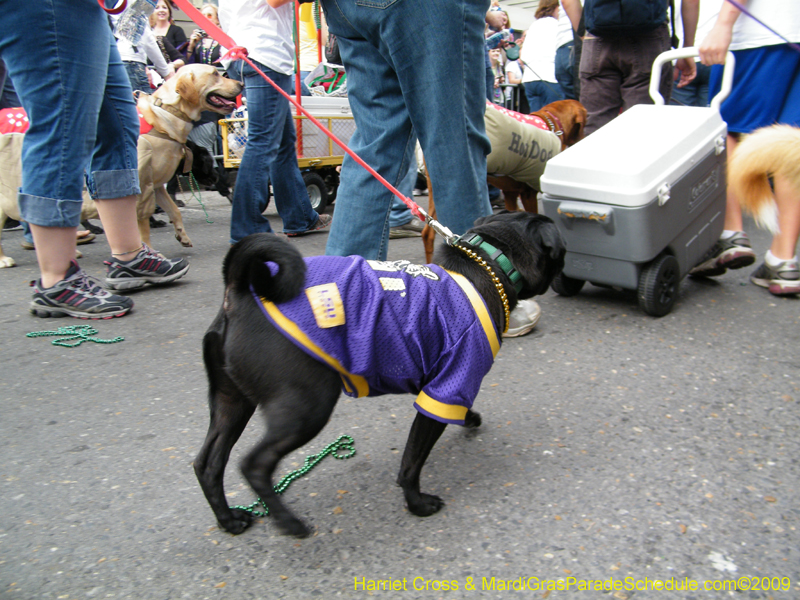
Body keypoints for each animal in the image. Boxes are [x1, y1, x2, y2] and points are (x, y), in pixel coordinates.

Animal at [137, 67, 241, 250]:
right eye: (215, 73)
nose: (241, 84)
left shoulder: (156, 185)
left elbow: (174, 210)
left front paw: (182, 235)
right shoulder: (143, 184)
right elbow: (141, 224)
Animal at [196, 212, 564, 540]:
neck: (489, 264)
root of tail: (240, 292)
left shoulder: (442, 389)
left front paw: (469, 418)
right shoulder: (449, 382)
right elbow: (411, 462)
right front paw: (416, 504)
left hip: (232, 403)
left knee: (208, 464)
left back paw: (229, 520)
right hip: (306, 407)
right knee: (255, 465)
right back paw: (289, 522)